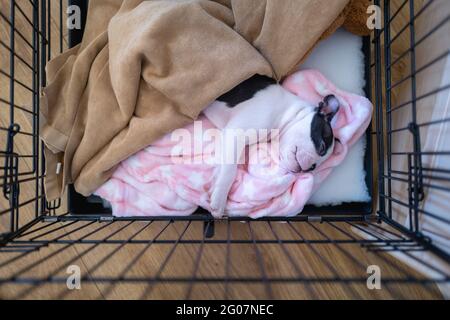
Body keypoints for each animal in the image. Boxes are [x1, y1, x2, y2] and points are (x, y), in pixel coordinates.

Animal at [202, 74, 340, 218]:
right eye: (322, 147)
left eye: (314, 168)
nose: (310, 168)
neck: (286, 112)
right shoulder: (236, 133)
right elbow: (229, 171)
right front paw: (219, 199)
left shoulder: (228, 137)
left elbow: (223, 165)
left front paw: (214, 185)